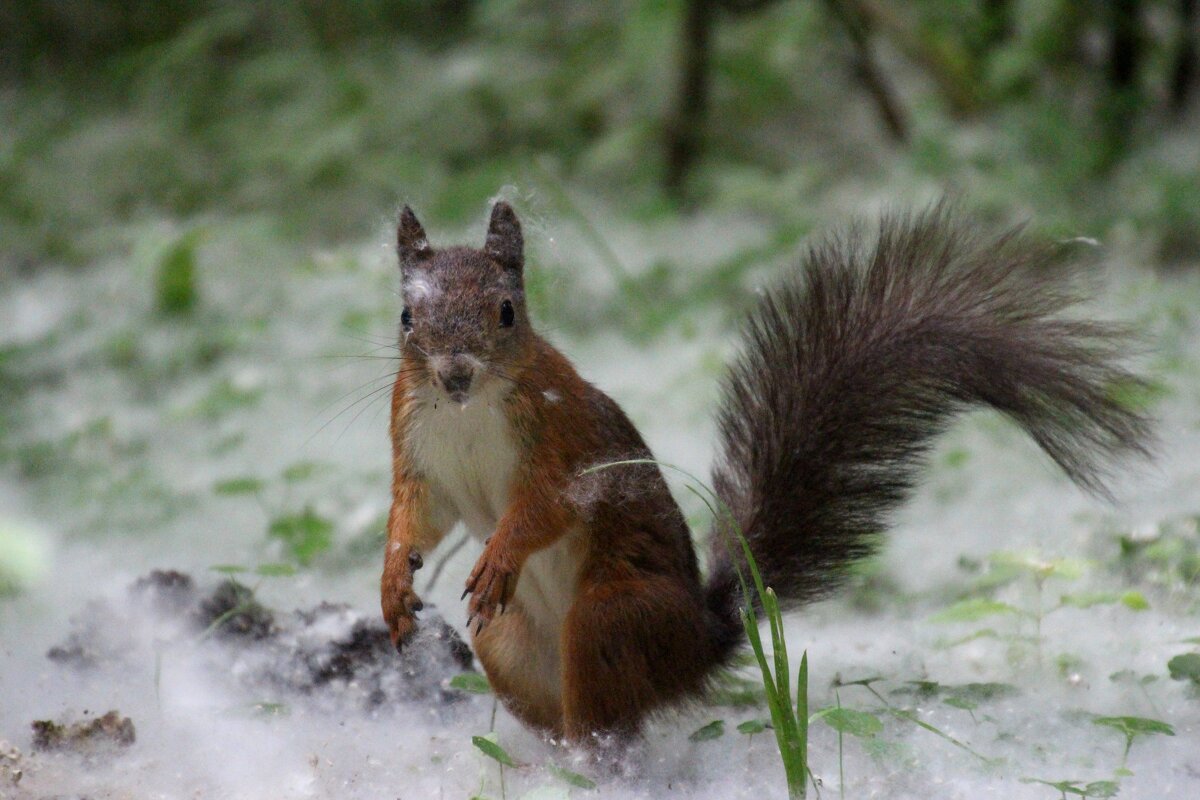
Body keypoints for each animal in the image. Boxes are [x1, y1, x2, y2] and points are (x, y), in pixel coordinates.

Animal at [379, 201, 1147, 753]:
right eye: (407, 315)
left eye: (505, 312)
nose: (453, 374)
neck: (468, 414)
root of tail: (696, 642)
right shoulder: (416, 454)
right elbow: (418, 516)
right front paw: (393, 580)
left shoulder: (564, 446)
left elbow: (544, 508)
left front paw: (501, 554)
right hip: (507, 646)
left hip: (612, 617)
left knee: (605, 720)